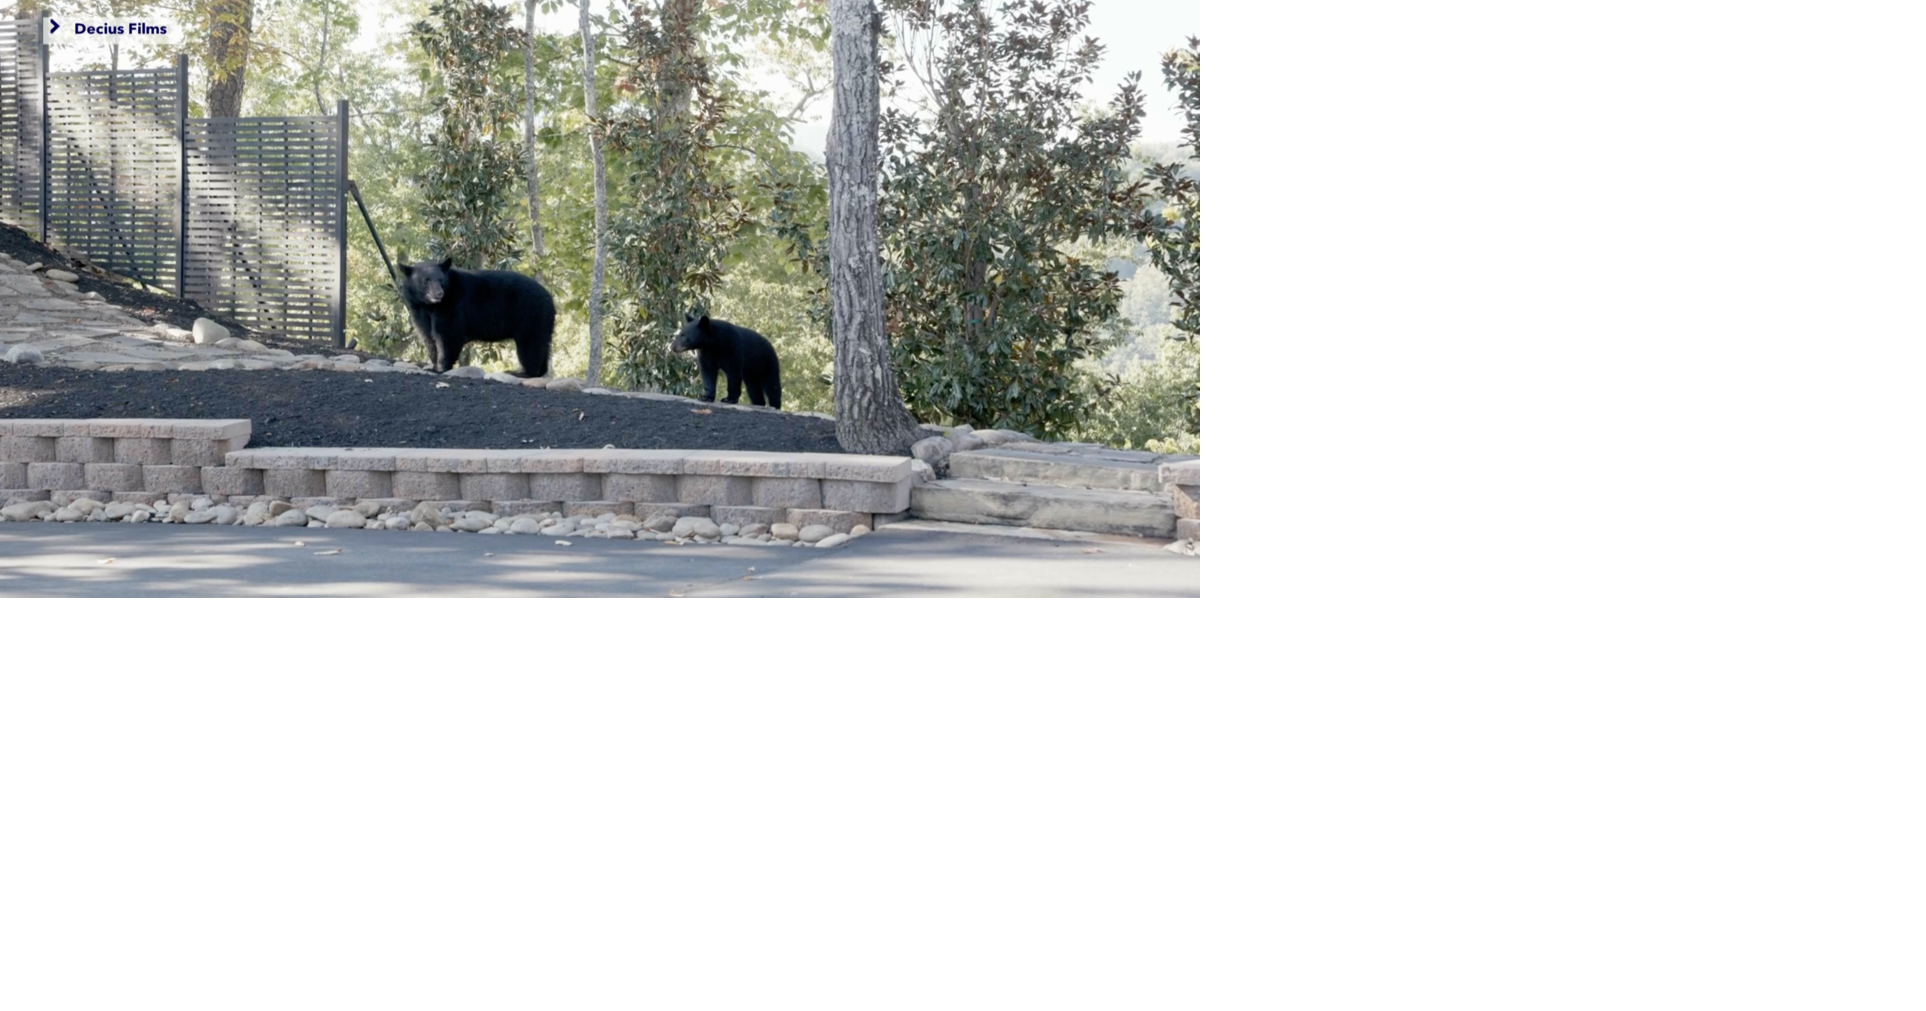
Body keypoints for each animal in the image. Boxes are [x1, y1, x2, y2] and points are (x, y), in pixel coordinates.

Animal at [397, 259, 555, 378]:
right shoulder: (419, 310)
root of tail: (549, 298)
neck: (430, 306)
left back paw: (523, 373)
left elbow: (448, 335)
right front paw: (434, 365)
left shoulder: (452, 306)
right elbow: (428, 336)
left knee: (530, 344)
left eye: (441, 280)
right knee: (542, 344)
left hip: (530, 315)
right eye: (426, 281)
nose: (438, 294)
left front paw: (442, 367)